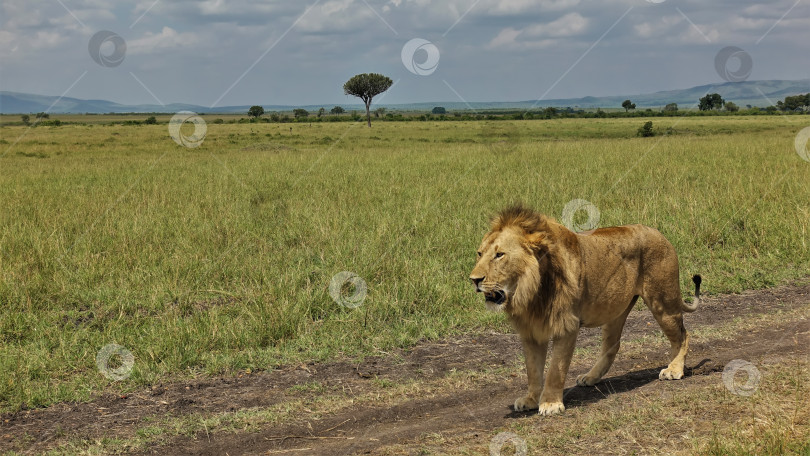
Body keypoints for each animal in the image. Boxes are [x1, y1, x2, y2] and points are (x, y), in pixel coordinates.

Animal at [468, 206, 700, 416]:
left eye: (499, 255)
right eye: (479, 254)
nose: (474, 280)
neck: (530, 291)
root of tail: (658, 233)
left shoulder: (566, 325)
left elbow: (556, 369)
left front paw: (551, 404)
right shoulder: (531, 331)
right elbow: (532, 370)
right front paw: (531, 400)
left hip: (662, 301)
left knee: (683, 335)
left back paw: (674, 369)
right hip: (615, 310)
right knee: (612, 346)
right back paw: (591, 377)